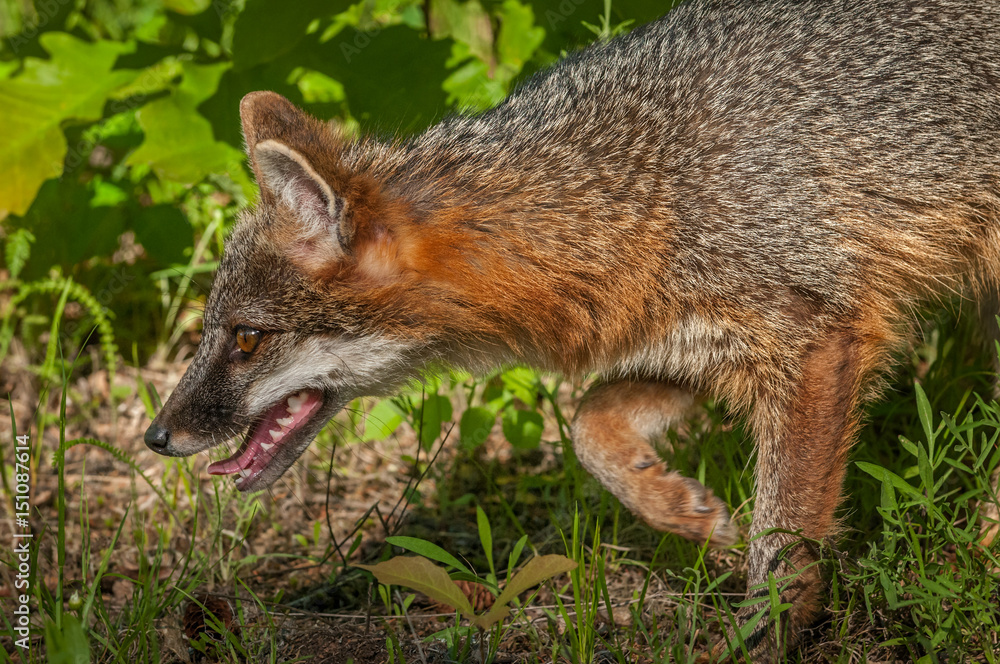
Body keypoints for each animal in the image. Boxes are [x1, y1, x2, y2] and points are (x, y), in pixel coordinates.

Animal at [144, 0, 1000, 658]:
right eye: (216, 331)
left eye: (246, 338)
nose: (156, 436)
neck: (640, 186)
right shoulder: (683, 339)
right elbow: (592, 427)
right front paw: (687, 511)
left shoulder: (819, 342)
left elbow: (784, 543)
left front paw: (763, 638)